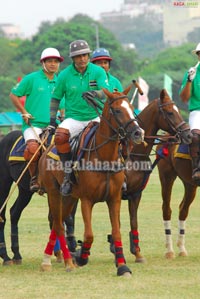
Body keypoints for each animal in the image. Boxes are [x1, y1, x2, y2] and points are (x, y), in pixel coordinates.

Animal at [38, 84, 144, 276]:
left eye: (131, 108)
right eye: (117, 110)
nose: (138, 133)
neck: (104, 157)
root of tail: (47, 149)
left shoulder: (114, 198)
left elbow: (116, 232)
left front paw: (122, 266)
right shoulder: (87, 199)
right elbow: (89, 235)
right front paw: (81, 256)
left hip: (70, 197)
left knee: (58, 222)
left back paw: (49, 260)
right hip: (54, 192)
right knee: (58, 224)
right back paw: (66, 262)